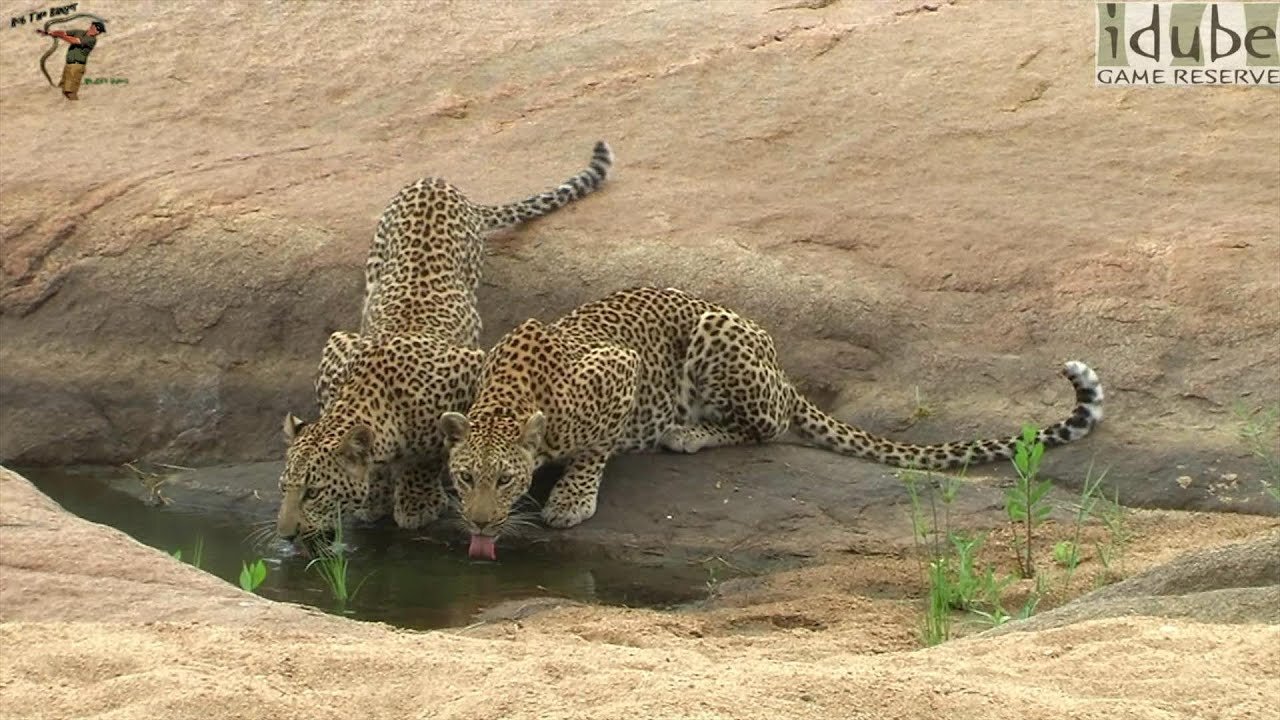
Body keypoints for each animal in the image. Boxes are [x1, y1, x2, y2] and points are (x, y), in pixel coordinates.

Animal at [273, 140, 614, 543]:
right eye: (283, 488)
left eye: (313, 492)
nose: (285, 534)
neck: (372, 392)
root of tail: (436, 180)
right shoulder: (337, 347)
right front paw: (374, 495)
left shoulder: (470, 366)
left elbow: (430, 453)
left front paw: (417, 500)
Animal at [437, 283, 1100, 558]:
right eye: (465, 478)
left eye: (505, 480)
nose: (480, 522)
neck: (505, 401)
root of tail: (781, 366)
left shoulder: (620, 367)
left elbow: (595, 446)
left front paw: (572, 499)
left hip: (720, 343)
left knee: (770, 424)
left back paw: (688, 432)